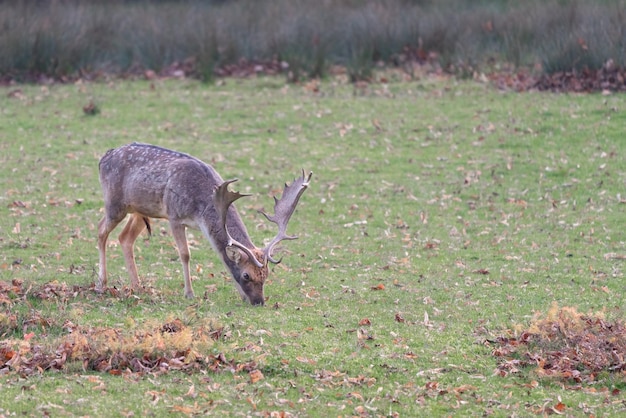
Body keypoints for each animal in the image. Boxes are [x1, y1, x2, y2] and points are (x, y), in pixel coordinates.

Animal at [95, 142, 310, 306]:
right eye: (246, 275)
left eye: (266, 275)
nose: (259, 302)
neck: (201, 210)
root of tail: (104, 157)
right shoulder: (174, 215)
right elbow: (185, 254)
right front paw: (189, 293)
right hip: (114, 203)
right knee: (101, 230)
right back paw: (101, 284)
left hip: (141, 211)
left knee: (125, 238)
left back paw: (138, 286)